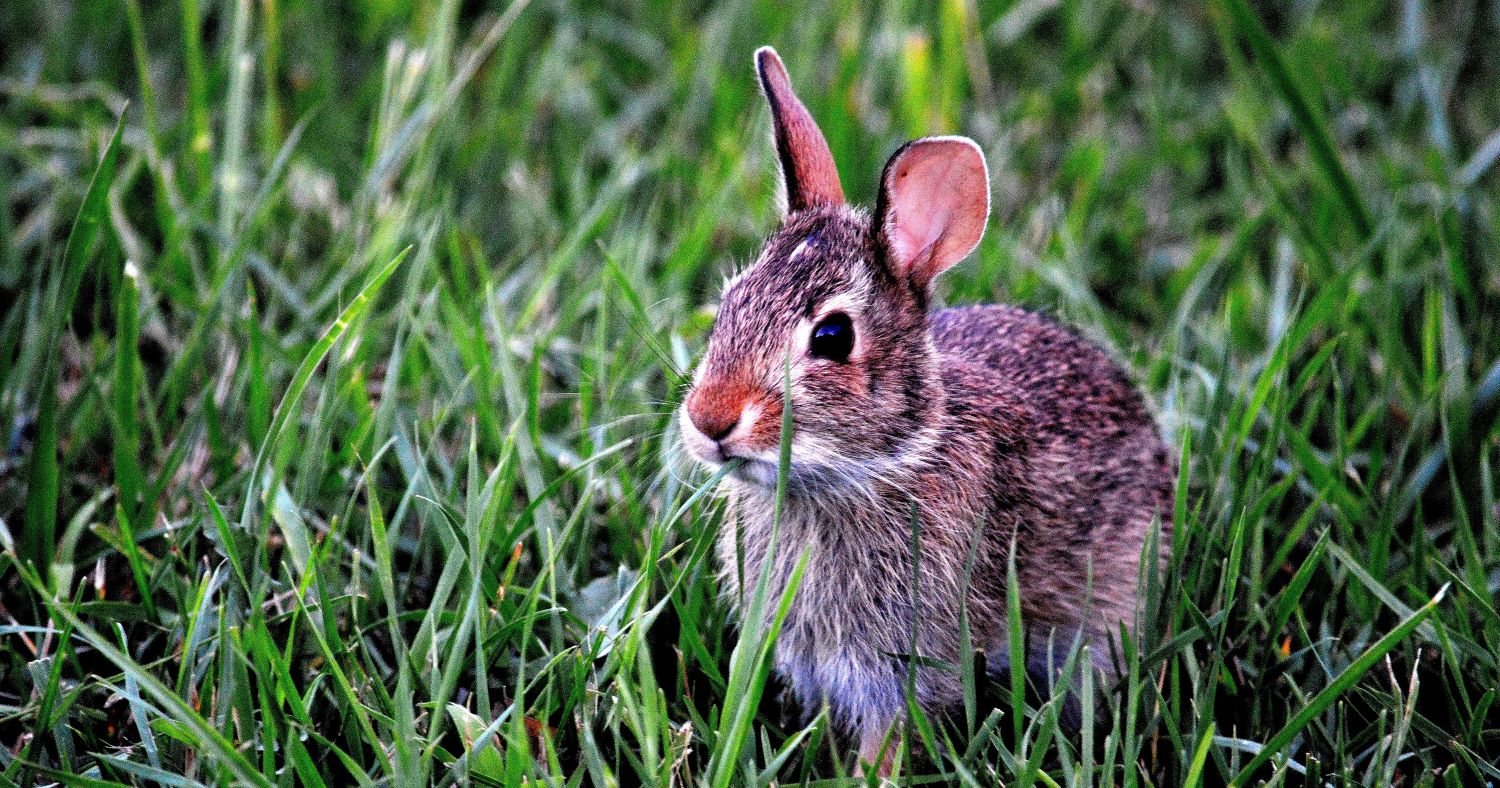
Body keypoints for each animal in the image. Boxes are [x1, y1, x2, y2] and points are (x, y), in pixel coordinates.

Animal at [675, 47, 1176, 774]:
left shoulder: (905, 665)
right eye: (729, 301)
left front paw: (866, 779)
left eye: (833, 337)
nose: (709, 420)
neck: (881, 464)